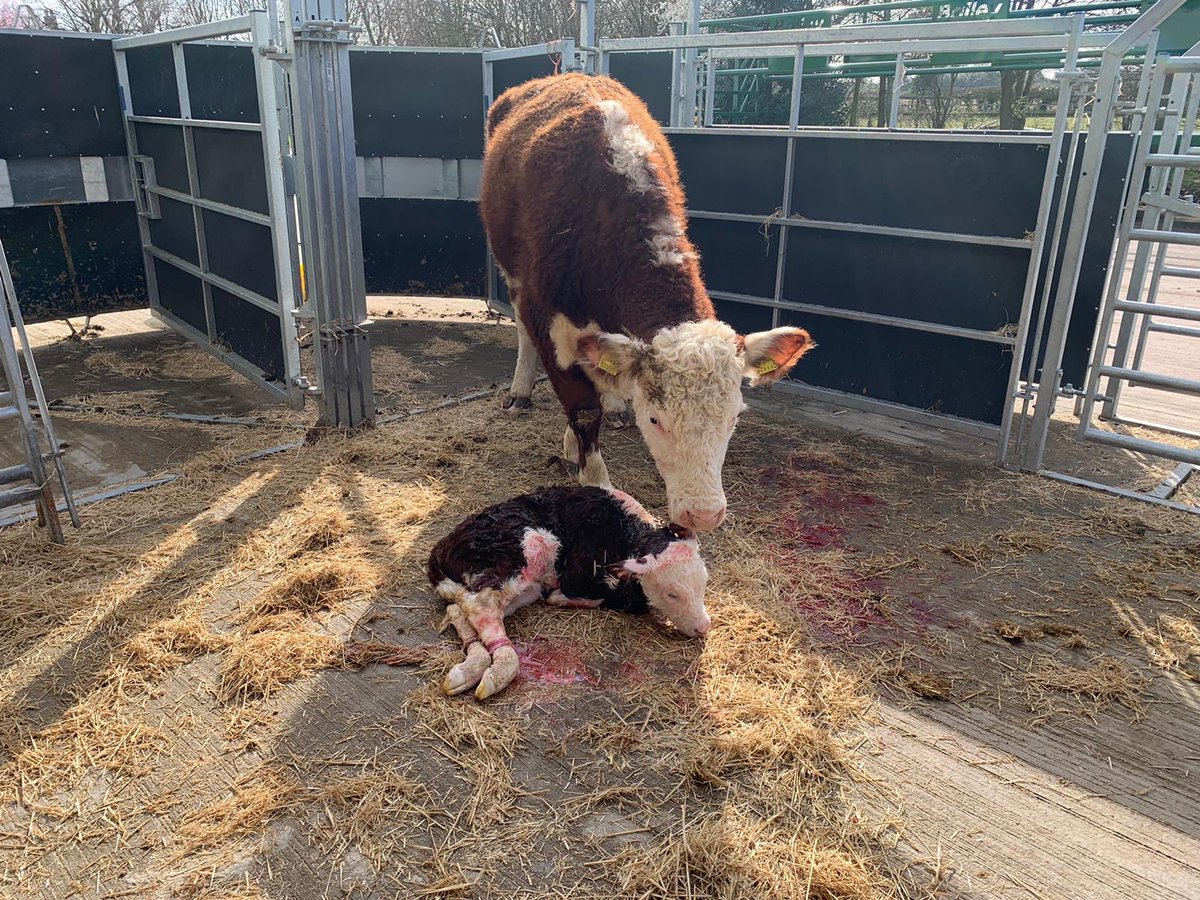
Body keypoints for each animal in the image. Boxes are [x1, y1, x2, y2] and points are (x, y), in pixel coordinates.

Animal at [428, 484, 710, 700]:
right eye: (672, 594)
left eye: (704, 584)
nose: (703, 627)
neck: (625, 531)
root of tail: (439, 551)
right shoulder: (579, 576)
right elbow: (627, 600)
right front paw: (560, 597)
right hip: (526, 553)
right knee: (481, 607)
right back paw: (496, 672)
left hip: (523, 587)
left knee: (461, 608)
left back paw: (467, 670)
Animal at [480, 73, 814, 532]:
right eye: (655, 420)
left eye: (734, 417)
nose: (703, 513)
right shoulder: (549, 320)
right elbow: (582, 412)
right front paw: (594, 479)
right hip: (510, 268)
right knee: (523, 334)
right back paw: (521, 393)